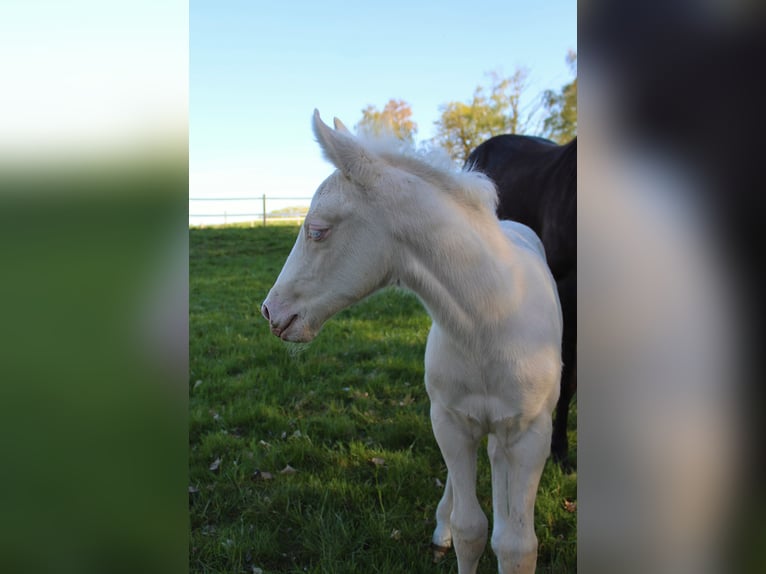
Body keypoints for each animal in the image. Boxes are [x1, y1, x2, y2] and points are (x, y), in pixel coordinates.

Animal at [261, 110, 562, 574]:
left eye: (317, 231)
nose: (271, 312)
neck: (489, 321)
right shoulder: (449, 421)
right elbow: (471, 530)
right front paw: (449, 532)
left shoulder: (532, 434)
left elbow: (517, 546)